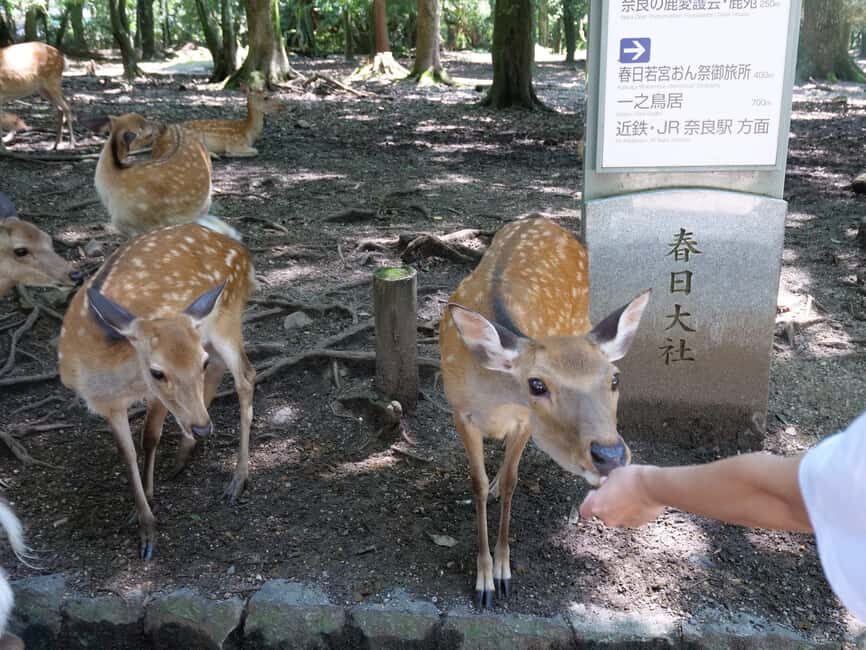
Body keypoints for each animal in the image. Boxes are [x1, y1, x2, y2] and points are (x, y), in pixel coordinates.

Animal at [58, 223, 256, 560]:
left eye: (199, 363)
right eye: (157, 371)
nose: (203, 428)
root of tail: (238, 246)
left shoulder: (156, 397)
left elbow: (149, 437)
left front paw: (148, 519)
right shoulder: (109, 404)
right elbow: (127, 453)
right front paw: (143, 519)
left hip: (227, 318)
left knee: (245, 376)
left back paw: (237, 478)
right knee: (224, 368)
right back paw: (186, 452)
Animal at [439, 215, 651, 609]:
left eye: (614, 378)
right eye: (537, 384)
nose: (610, 455)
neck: (494, 398)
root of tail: (541, 219)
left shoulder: (524, 422)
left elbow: (512, 480)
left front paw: (503, 573)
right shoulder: (459, 412)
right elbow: (477, 484)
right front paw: (484, 581)